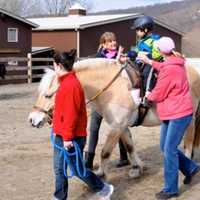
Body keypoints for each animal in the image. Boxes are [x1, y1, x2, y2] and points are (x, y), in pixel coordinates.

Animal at [28, 55, 200, 178]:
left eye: (48, 95)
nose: (32, 119)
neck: (113, 88)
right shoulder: (121, 127)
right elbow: (130, 146)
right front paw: (137, 168)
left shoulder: (116, 126)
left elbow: (105, 152)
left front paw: (100, 173)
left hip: (189, 119)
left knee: (188, 142)